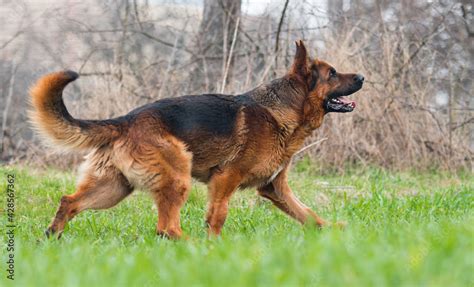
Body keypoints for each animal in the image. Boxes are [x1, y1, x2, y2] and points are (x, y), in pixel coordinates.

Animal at [29, 40, 362, 238]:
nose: (362, 77)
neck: (283, 109)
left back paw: (52, 236)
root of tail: (125, 120)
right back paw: (190, 245)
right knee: (166, 227)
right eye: (333, 73)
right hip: (177, 176)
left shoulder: (275, 188)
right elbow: (218, 215)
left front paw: (334, 231)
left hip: (114, 188)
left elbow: (308, 214)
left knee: (69, 201)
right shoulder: (226, 179)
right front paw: (215, 245)